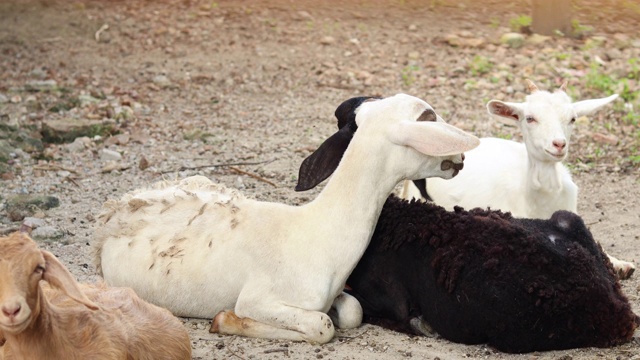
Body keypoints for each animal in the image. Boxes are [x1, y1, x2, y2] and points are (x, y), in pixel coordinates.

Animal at [92, 93, 478, 344]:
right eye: (429, 120)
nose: (460, 159)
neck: (318, 232)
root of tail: (114, 211)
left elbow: (352, 312)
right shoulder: (259, 298)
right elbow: (322, 327)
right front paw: (227, 320)